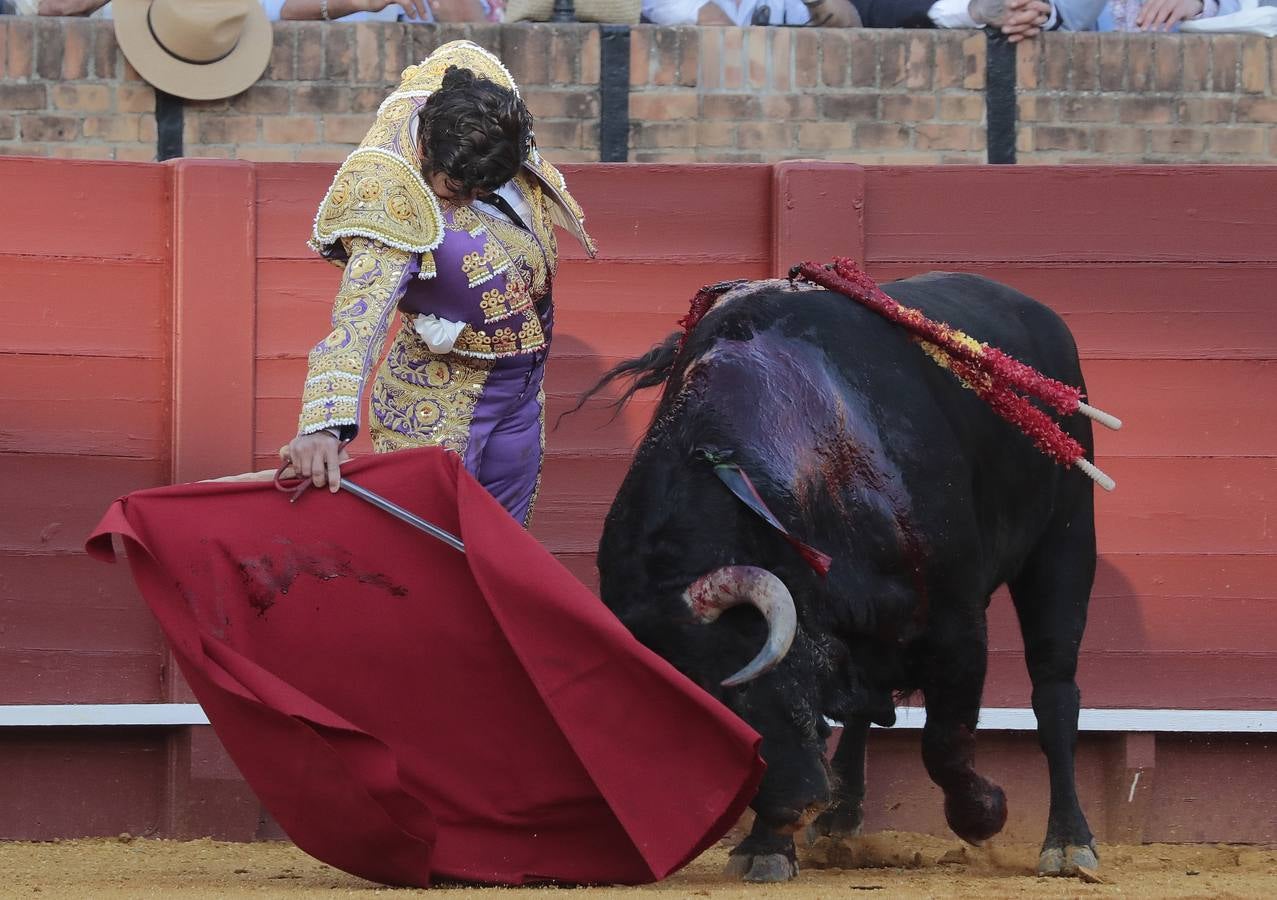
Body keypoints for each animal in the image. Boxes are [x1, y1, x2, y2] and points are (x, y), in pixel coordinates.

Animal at [584, 270, 1103, 883]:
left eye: (739, 685)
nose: (795, 804)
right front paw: (766, 845)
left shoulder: (957, 623)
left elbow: (944, 743)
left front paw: (985, 813)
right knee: (867, 710)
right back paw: (840, 818)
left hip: (1065, 544)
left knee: (1054, 691)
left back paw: (1068, 843)